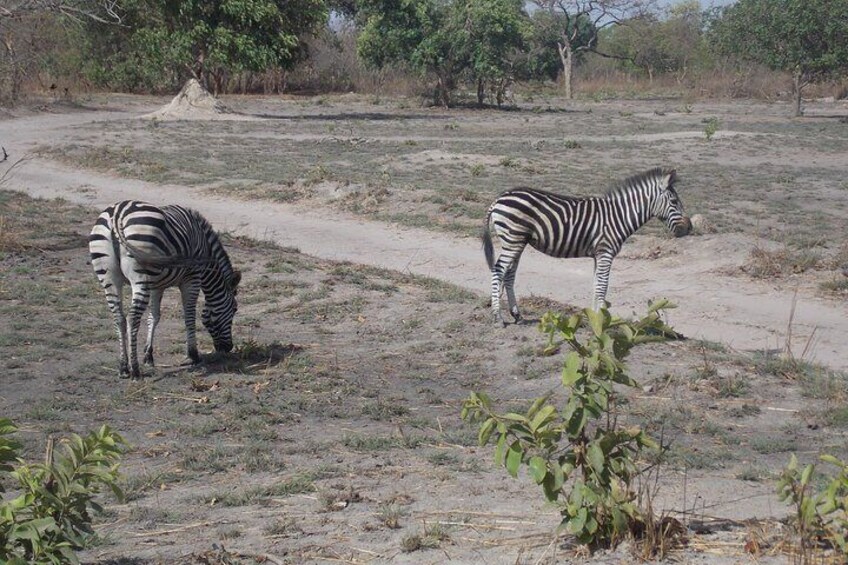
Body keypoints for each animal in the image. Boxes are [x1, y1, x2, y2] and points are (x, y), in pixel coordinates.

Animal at [89, 199, 240, 378]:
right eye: (234, 309)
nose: (228, 348)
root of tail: (117, 214)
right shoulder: (192, 279)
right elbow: (189, 316)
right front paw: (193, 355)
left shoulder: (156, 286)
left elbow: (154, 317)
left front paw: (148, 355)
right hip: (140, 276)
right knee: (132, 318)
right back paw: (135, 369)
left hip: (109, 278)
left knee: (119, 318)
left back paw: (123, 367)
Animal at [484, 167, 688, 324]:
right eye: (674, 201)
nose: (689, 228)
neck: (619, 216)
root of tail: (498, 199)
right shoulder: (606, 252)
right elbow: (603, 286)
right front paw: (600, 319)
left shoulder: (598, 255)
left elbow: (596, 284)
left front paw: (594, 317)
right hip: (513, 239)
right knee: (498, 270)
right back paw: (497, 317)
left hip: (517, 241)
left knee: (509, 274)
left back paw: (517, 315)